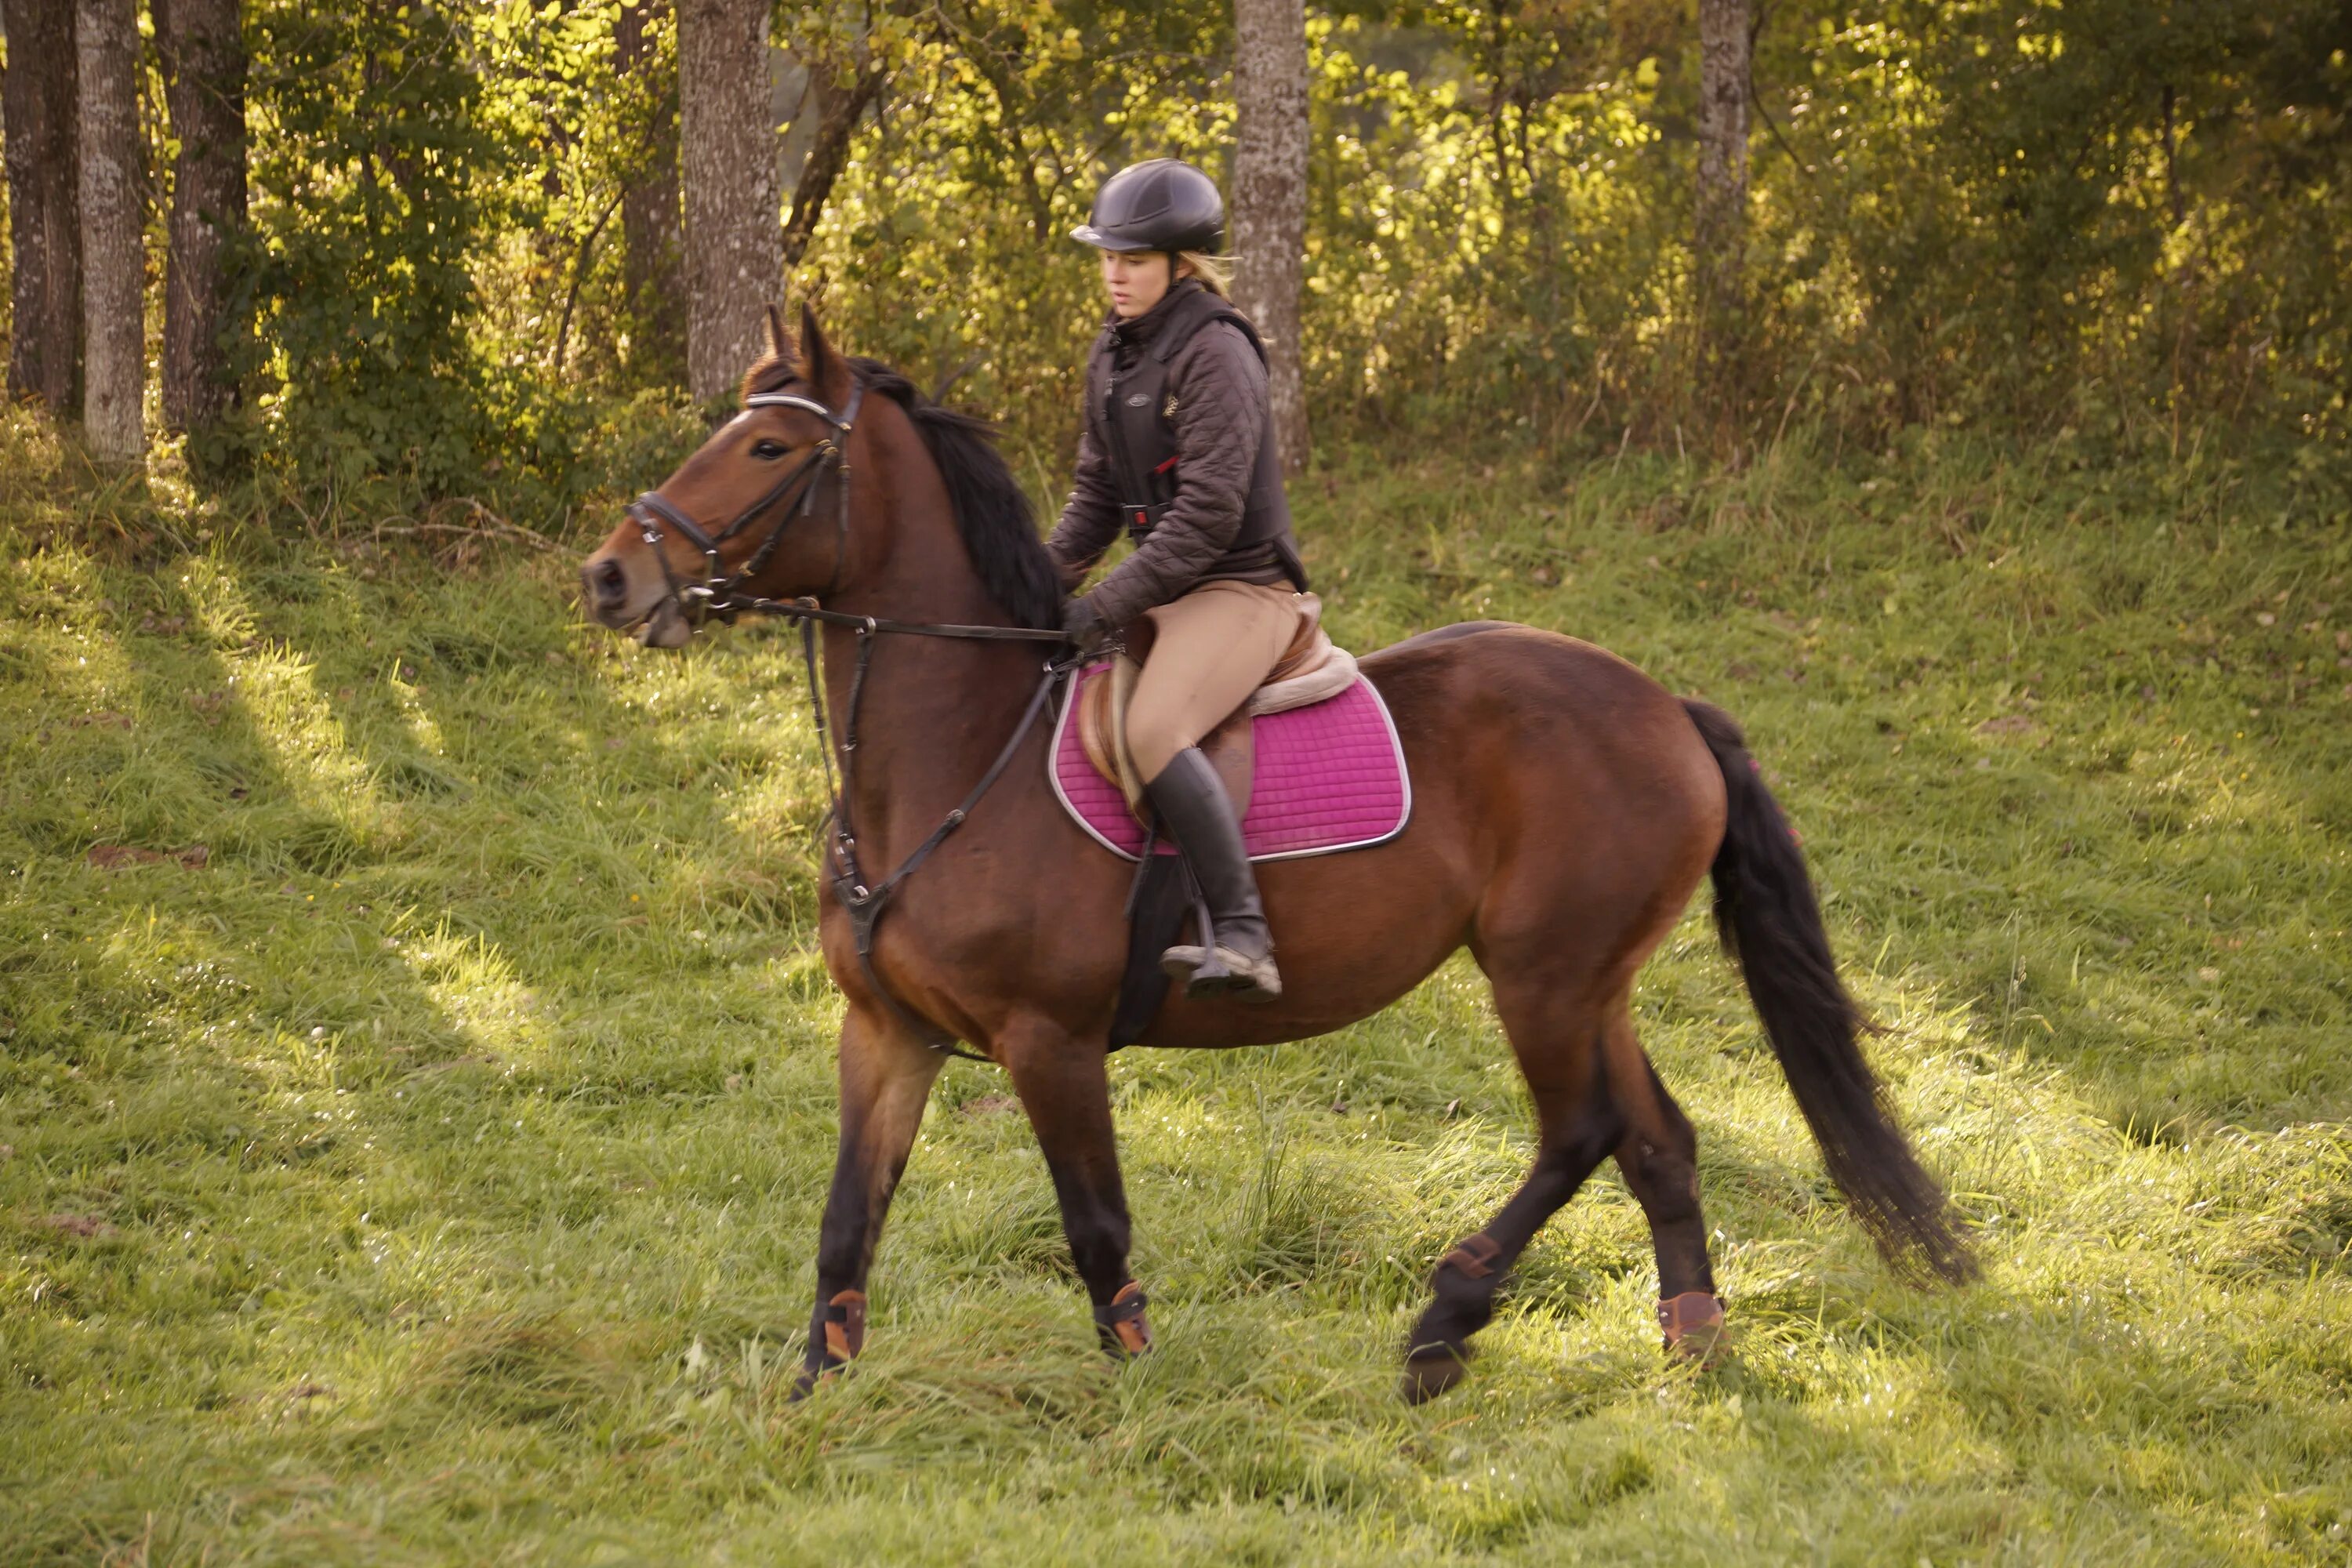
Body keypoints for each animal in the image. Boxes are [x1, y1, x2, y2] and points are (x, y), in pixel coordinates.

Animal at [579, 303, 1976, 1401]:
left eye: (768, 446)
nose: (608, 577)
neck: (952, 754)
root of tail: (1668, 707)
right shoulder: (886, 1035)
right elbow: (844, 1226)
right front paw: (813, 1398)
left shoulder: (1049, 1041)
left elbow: (1095, 1225)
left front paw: (1136, 1391)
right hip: (1594, 980)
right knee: (1658, 1141)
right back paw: (1692, 1345)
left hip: (1541, 977)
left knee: (1578, 1132)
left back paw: (1443, 1324)